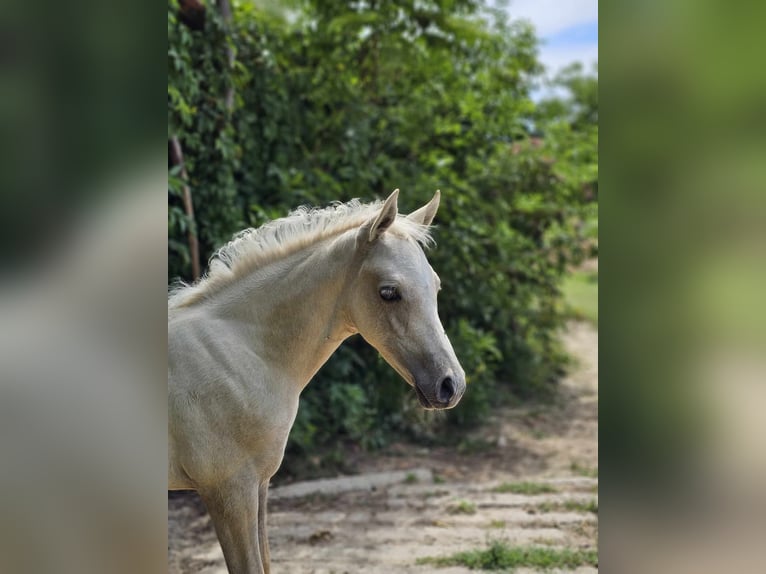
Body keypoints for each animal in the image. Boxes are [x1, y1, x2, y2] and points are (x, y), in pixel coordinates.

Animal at [170, 191, 468, 572]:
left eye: (436, 285)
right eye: (389, 292)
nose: (451, 385)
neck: (241, 351)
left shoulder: (258, 487)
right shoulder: (229, 492)